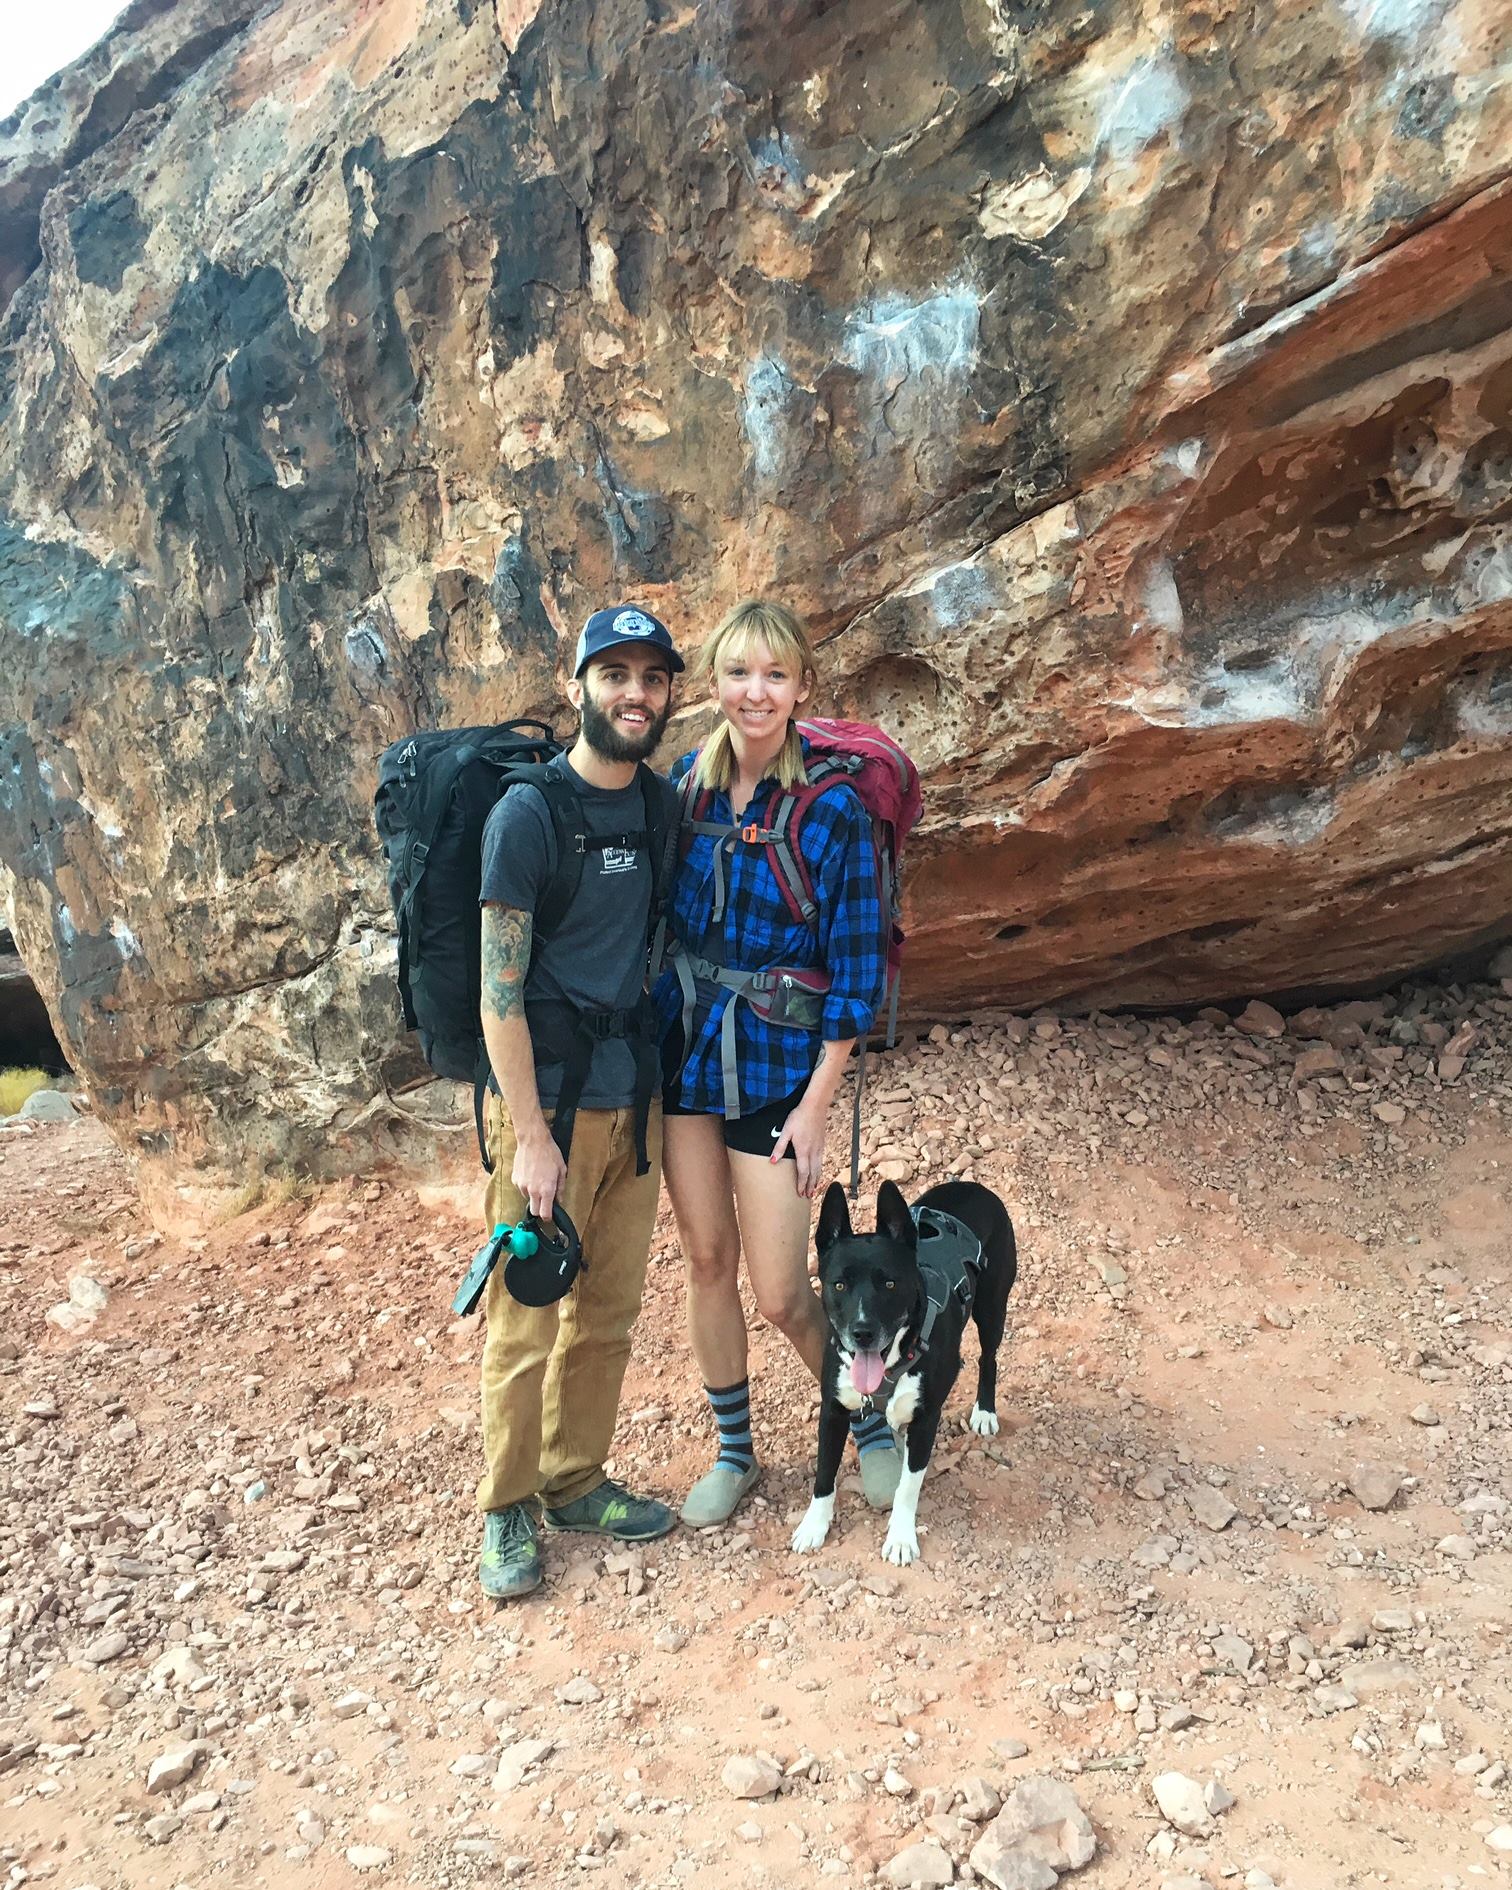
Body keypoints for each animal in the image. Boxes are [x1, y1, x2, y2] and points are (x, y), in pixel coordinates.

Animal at [790, 1179, 1013, 1564]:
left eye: (890, 1284)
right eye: (839, 1285)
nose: (862, 1332)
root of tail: (972, 1184)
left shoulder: (925, 1422)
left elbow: (908, 1487)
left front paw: (900, 1538)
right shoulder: (833, 1411)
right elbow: (823, 1474)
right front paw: (813, 1526)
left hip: (992, 1307)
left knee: (989, 1357)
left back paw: (985, 1411)